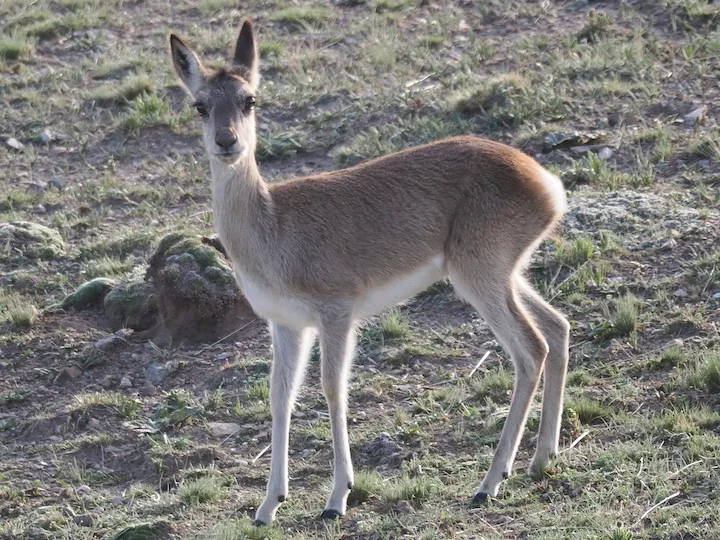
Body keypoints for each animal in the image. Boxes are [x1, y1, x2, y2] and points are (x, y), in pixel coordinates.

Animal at [169, 21, 570, 525]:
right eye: (200, 105)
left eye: (250, 100)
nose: (227, 142)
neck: (273, 224)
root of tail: (546, 183)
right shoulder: (286, 324)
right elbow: (280, 396)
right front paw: (267, 505)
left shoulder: (337, 312)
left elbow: (332, 387)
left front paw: (336, 499)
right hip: (504, 275)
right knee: (557, 326)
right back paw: (542, 459)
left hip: (480, 278)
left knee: (530, 349)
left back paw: (488, 484)